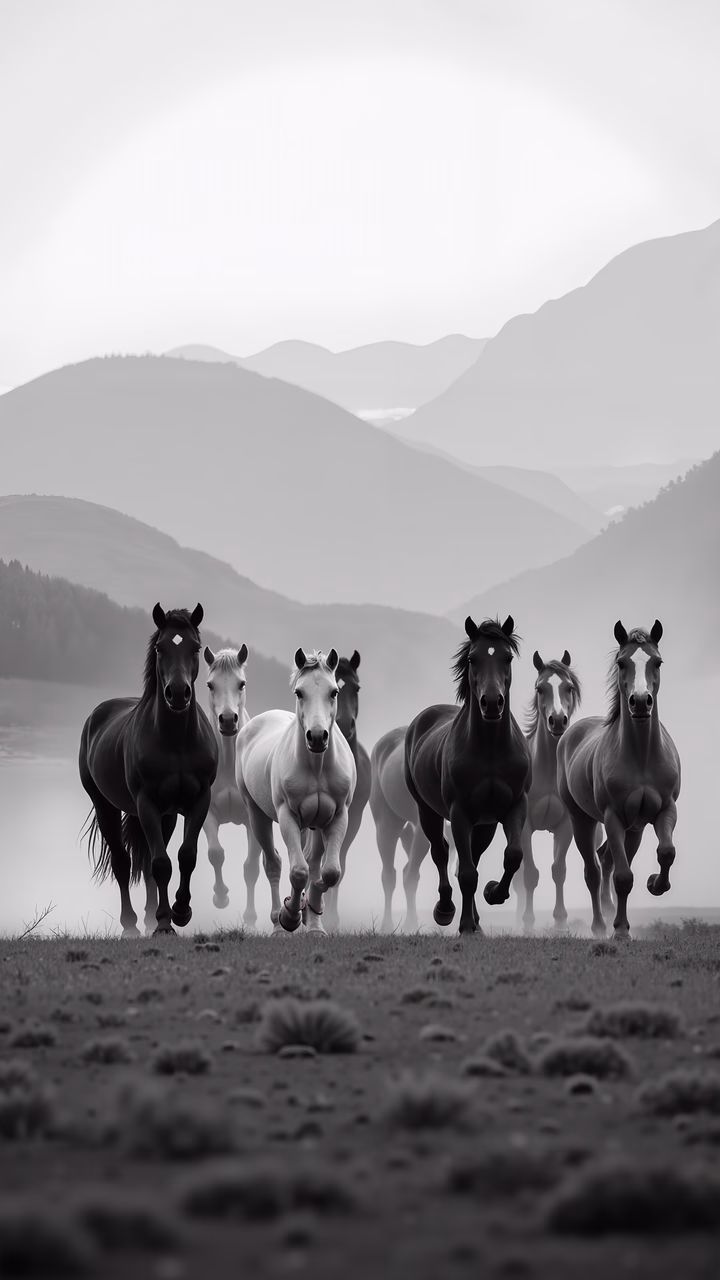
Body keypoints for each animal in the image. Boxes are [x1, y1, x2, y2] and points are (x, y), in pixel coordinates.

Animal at [79, 604, 218, 936]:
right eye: (159, 648)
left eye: (195, 648)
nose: (177, 693)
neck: (177, 742)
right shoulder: (147, 804)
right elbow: (160, 864)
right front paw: (165, 923)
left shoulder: (198, 801)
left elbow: (185, 856)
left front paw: (180, 911)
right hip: (105, 805)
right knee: (123, 862)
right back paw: (131, 924)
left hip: (167, 815)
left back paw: (149, 916)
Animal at [202, 645, 282, 931]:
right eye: (210, 685)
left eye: (241, 683)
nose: (227, 720)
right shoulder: (208, 814)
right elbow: (215, 853)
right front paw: (220, 896)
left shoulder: (251, 818)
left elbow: (251, 869)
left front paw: (250, 920)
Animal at [236, 649, 356, 934]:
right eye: (299, 692)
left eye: (334, 692)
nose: (317, 736)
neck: (316, 767)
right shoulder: (287, 816)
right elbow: (299, 871)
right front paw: (290, 915)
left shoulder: (337, 817)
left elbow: (328, 872)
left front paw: (311, 912)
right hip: (256, 815)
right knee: (274, 864)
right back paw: (279, 924)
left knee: (311, 862)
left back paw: (311, 921)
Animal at [404, 616, 532, 935]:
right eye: (473, 658)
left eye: (507, 657)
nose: (492, 703)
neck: (490, 751)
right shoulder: (459, 812)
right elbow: (466, 873)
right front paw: (463, 925)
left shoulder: (514, 807)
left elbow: (513, 856)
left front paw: (493, 893)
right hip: (428, 811)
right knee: (441, 852)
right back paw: (445, 910)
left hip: (485, 823)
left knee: (473, 854)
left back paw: (476, 920)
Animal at [557, 620, 681, 938]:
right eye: (622, 663)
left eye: (657, 662)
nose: (640, 703)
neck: (641, 757)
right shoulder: (612, 817)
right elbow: (623, 877)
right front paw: (621, 931)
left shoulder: (665, 809)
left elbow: (666, 852)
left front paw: (655, 884)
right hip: (582, 820)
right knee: (593, 870)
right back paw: (600, 925)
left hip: (634, 828)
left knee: (606, 860)